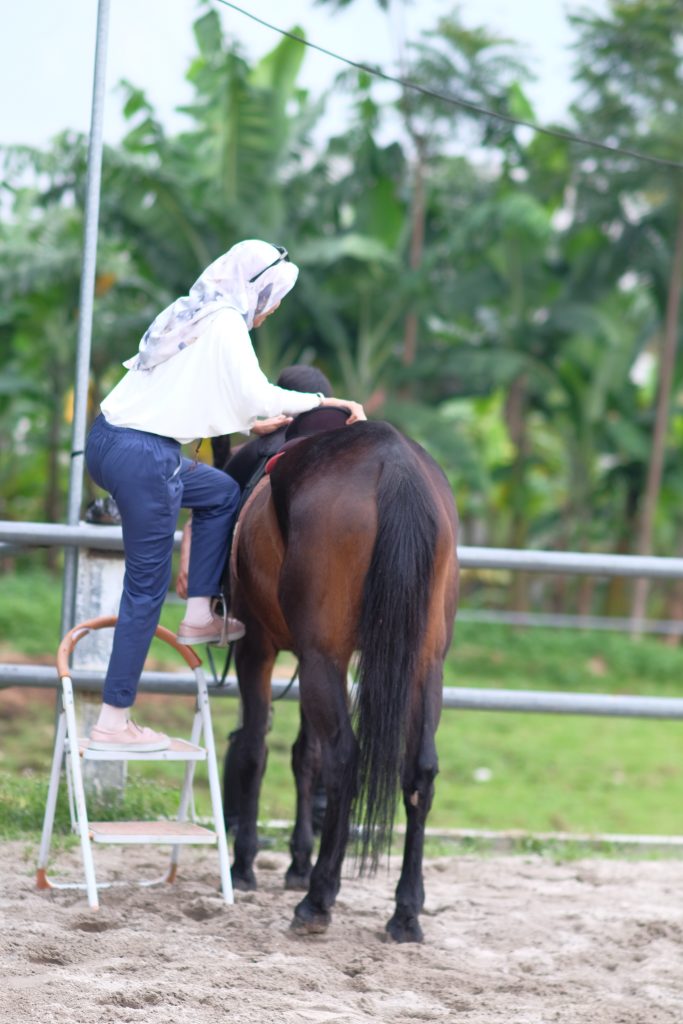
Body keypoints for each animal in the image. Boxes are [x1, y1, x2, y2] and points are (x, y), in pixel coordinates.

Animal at [228, 417, 458, 942]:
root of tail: (394, 465)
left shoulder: (258, 648)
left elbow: (255, 749)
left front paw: (245, 865)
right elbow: (302, 756)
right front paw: (296, 861)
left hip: (320, 659)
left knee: (344, 760)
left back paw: (317, 900)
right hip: (424, 662)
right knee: (420, 769)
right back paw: (405, 912)